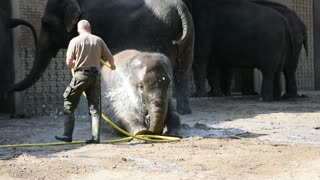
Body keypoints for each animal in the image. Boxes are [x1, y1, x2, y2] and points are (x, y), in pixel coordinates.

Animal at [10, 0, 194, 114]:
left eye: (46, 23)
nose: (7, 90)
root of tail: (180, 7)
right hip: (187, 37)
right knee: (183, 72)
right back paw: (184, 110)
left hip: (159, 34)